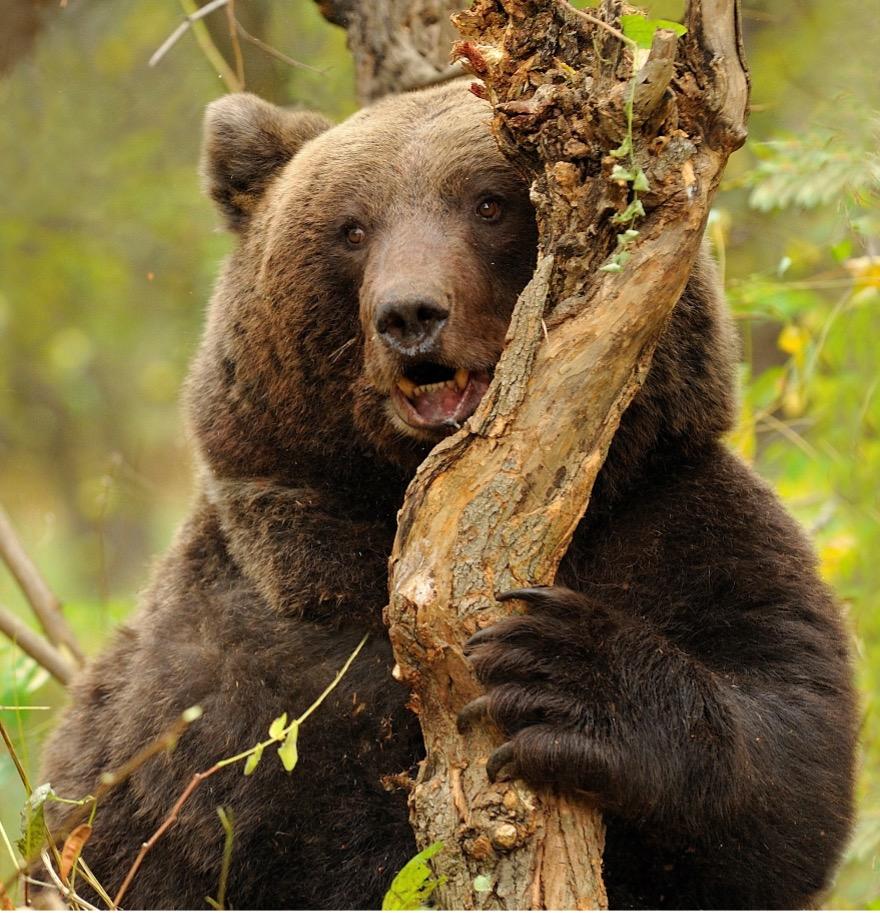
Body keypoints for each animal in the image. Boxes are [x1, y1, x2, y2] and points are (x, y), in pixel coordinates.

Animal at [38, 82, 857, 910]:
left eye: (490, 204)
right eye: (352, 226)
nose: (409, 313)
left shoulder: (677, 522)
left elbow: (790, 757)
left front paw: (559, 669)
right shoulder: (224, 674)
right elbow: (201, 828)